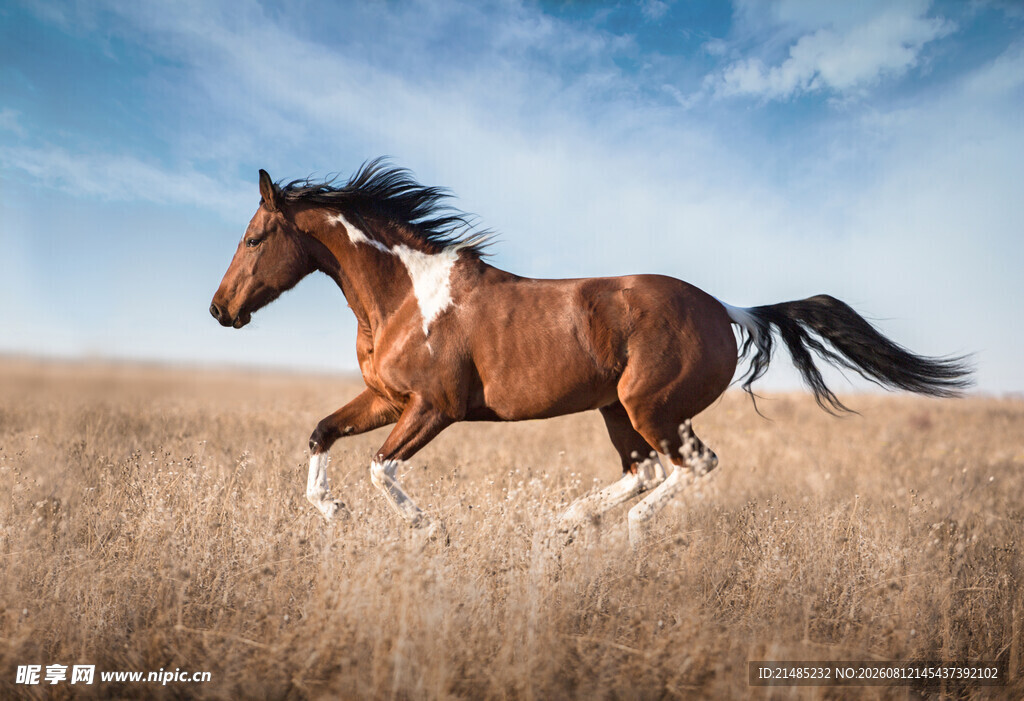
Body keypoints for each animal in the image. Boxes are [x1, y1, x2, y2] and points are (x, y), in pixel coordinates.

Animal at [210, 159, 971, 544]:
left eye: (253, 237)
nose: (221, 310)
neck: (405, 295)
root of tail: (727, 309)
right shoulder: (385, 397)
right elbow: (321, 433)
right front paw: (332, 512)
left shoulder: (434, 406)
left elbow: (379, 467)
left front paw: (428, 529)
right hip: (616, 410)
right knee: (645, 469)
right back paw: (570, 519)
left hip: (649, 406)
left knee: (689, 465)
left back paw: (622, 529)